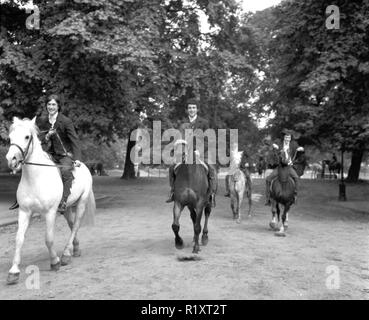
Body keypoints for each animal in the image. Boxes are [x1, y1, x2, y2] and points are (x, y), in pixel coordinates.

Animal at [4, 117, 95, 284]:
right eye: (10, 137)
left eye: (27, 137)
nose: (11, 160)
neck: (35, 177)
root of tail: (83, 165)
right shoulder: (25, 212)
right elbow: (19, 239)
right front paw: (13, 271)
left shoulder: (50, 212)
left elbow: (49, 238)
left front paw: (55, 262)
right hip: (66, 207)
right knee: (71, 225)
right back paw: (75, 249)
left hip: (81, 203)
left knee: (76, 225)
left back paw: (66, 254)